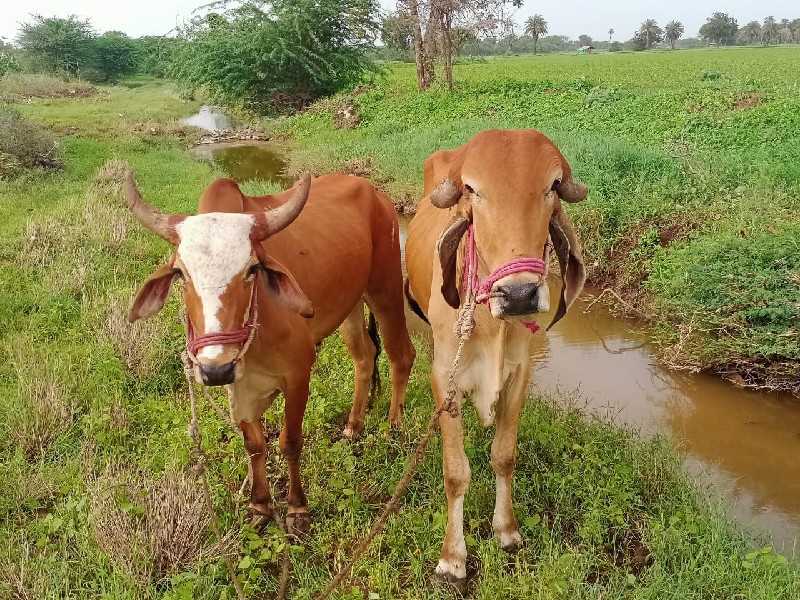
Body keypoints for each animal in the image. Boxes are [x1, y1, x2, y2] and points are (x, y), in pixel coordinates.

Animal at [126, 170, 416, 528]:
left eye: (252, 269)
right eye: (180, 273)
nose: (215, 369)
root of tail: (374, 192)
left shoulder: (297, 374)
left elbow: (290, 442)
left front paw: (297, 509)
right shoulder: (238, 384)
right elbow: (254, 444)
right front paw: (260, 505)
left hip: (385, 288)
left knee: (401, 354)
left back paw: (393, 429)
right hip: (349, 304)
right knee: (364, 356)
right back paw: (353, 427)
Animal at [406, 130, 588, 584]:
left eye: (552, 186)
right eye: (473, 190)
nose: (519, 294)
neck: (492, 327)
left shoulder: (519, 373)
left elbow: (504, 455)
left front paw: (506, 529)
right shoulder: (444, 378)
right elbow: (456, 471)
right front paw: (452, 556)